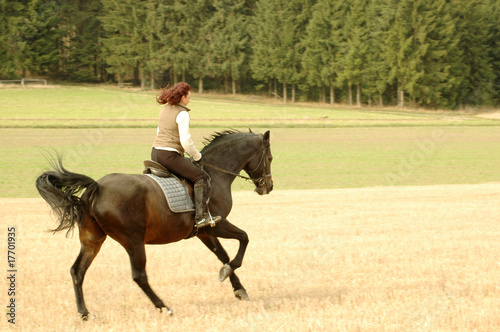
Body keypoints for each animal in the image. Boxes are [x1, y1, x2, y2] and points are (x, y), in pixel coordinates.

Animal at [35, 129, 274, 320]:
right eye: (270, 158)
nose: (268, 187)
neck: (215, 174)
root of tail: (97, 187)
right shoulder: (217, 224)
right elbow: (244, 238)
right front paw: (229, 272)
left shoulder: (204, 232)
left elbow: (223, 255)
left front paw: (238, 288)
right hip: (133, 241)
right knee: (139, 276)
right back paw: (164, 307)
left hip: (92, 240)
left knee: (78, 271)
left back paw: (84, 313)